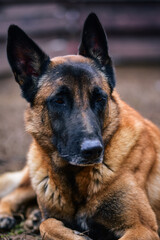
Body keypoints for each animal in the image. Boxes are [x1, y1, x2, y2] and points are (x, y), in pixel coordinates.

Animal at [0, 13, 160, 240]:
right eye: (59, 101)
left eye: (100, 98)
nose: (93, 150)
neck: (75, 178)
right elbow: (48, 223)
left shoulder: (142, 228)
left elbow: (48, 223)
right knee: (14, 194)